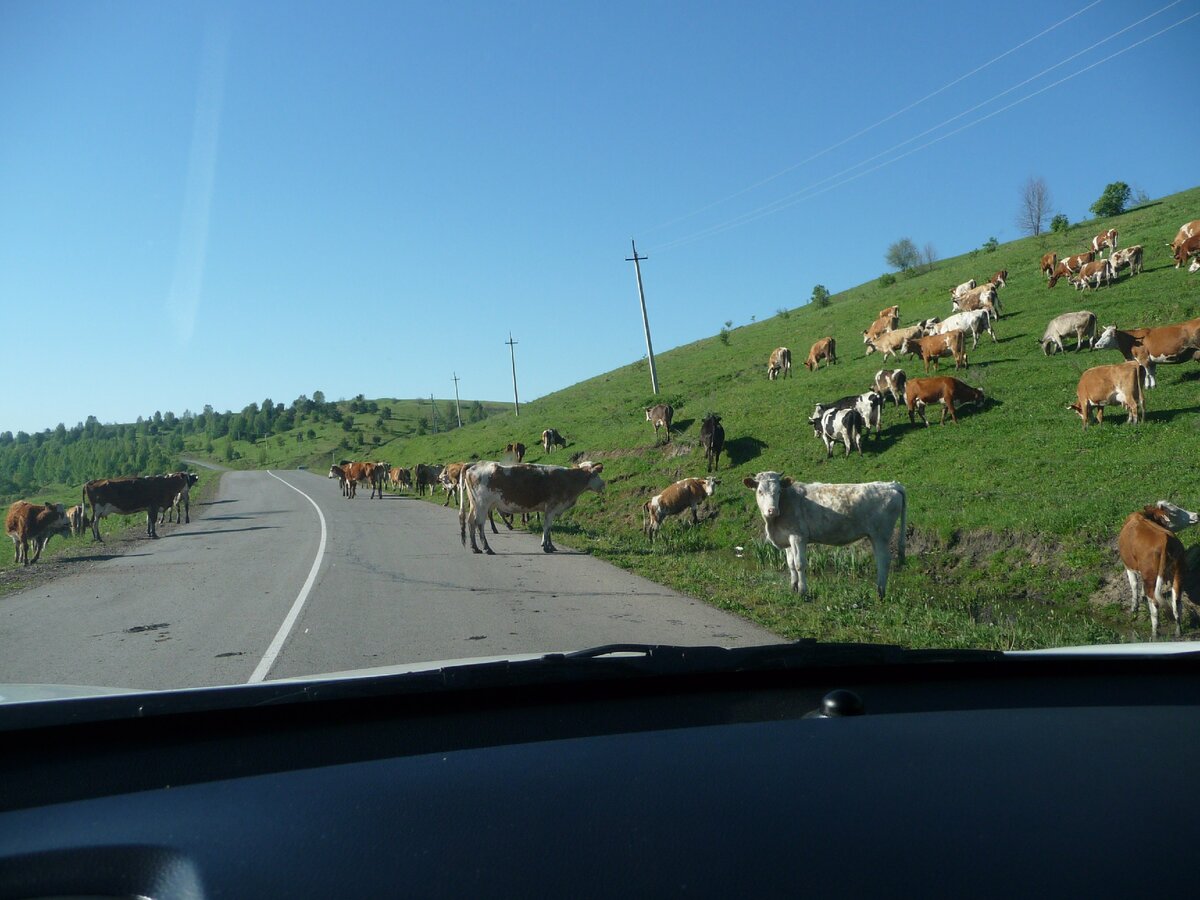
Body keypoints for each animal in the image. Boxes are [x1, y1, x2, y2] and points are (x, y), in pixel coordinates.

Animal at [460, 465, 604, 556]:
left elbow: (548, 528)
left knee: (470, 522)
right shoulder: (552, 507)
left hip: (474, 504)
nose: (604, 484)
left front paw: (550, 546)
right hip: (482, 505)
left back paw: (475, 548)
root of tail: (473, 466)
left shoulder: (548, 509)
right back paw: (487, 548)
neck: (567, 479)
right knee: (479, 524)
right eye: (596, 474)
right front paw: (546, 547)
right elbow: (547, 527)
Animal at [739, 472, 907, 600]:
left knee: (884, 561)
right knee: (880, 560)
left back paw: (880, 593)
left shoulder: (798, 537)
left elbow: (800, 564)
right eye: (760, 491)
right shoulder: (787, 537)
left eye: (779, 491)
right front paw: (793, 587)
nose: (772, 510)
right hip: (874, 536)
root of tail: (892, 484)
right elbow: (791, 564)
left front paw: (802, 591)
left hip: (881, 535)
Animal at [1113, 501, 1200, 643]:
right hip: (1178, 575)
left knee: (1154, 604)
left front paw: (1134, 608)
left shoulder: (1129, 567)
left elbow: (1134, 585)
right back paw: (1178, 631)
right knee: (1176, 604)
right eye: (1175, 511)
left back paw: (1155, 632)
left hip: (1151, 576)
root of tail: (1166, 539)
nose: (1196, 515)